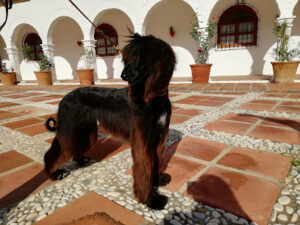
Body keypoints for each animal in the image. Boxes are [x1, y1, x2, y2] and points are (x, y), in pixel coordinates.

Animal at [44, 33, 176, 209]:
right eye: (126, 59)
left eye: (140, 58)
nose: (123, 76)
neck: (153, 98)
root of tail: (64, 98)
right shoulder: (143, 139)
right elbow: (145, 168)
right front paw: (150, 200)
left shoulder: (160, 136)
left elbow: (155, 163)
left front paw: (157, 181)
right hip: (70, 127)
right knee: (55, 152)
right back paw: (55, 173)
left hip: (85, 130)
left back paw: (81, 160)